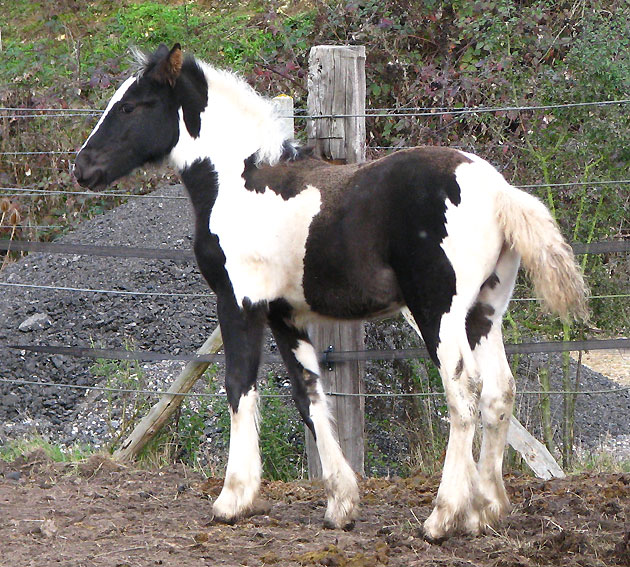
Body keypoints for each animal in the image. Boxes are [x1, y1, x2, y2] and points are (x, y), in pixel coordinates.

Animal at [75, 45, 592, 540]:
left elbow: (239, 388)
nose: (83, 168)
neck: (240, 183)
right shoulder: (285, 315)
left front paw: (232, 499)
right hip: (483, 313)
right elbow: (309, 397)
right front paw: (341, 505)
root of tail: (500, 190)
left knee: (463, 396)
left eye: (131, 106)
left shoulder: (239, 304)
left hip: (438, 313)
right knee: (499, 394)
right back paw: (485, 511)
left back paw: (442, 519)